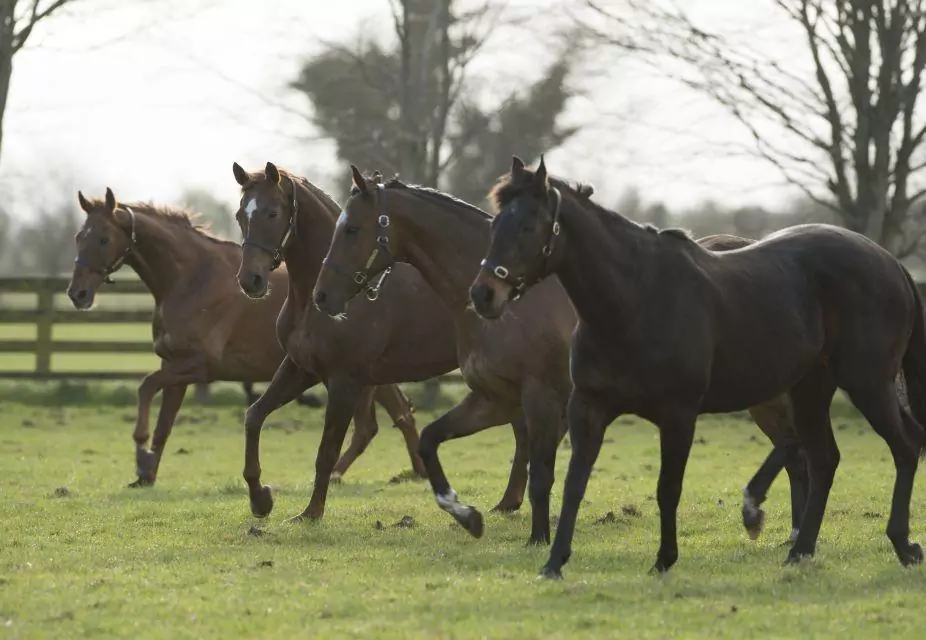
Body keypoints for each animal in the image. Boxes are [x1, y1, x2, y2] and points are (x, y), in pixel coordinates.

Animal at [68, 188, 424, 488]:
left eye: (103, 239)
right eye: (79, 237)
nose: (77, 293)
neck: (191, 279)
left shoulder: (198, 366)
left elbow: (145, 387)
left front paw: (141, 452)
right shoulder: (176, 367)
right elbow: (163, 424)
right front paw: (145, 473)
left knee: (381, 422)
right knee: (387, 420)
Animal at [474, 156, 924, 580]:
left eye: (528, 227)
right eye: (495, 224)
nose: (483, 294)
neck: (635, 299)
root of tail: (891, 263)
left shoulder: (678, 414)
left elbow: (667, 488)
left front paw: (664, 560)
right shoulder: (589, 408)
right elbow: (574, 485)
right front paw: (553, 563)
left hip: (867, 384)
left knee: (904, 447)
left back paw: (902, 545)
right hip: (810, 389)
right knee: (824, 460)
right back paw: (799, 552)